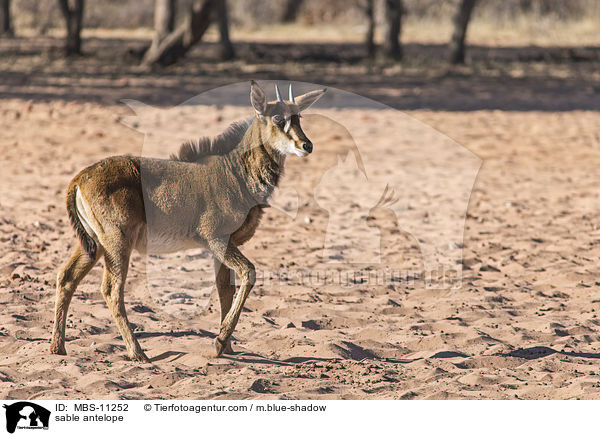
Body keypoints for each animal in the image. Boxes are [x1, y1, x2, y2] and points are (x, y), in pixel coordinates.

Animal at [49, 82, 326, 362]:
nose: (307, 145)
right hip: (117, 242)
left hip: (95, 243)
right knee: (111, 290)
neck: (236, 171)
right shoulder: (216, 239)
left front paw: (227, 346)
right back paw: (137, 352)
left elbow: (225, 289)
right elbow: (249, 273)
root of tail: (78, 179)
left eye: (299, 117)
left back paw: (57, 347)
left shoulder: (222, 247)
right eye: (278, 118)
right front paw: (220, 341)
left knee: (67, 277)